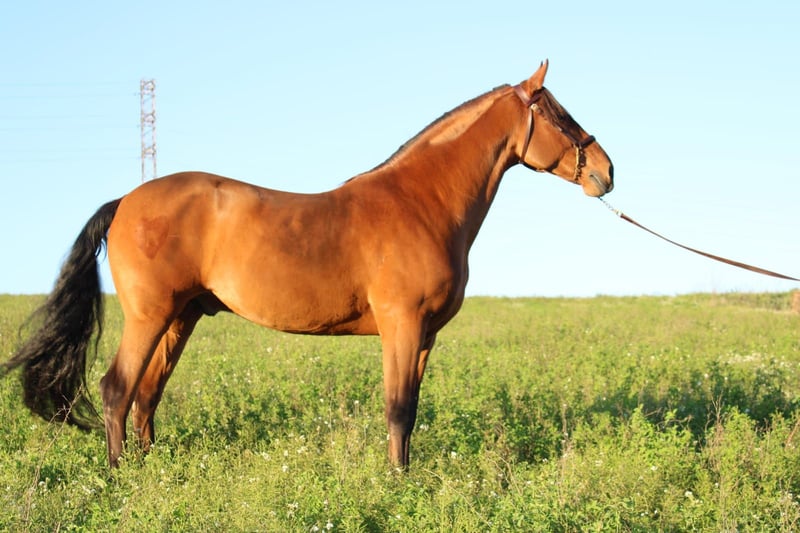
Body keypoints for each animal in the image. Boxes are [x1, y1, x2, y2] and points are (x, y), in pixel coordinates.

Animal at [2, 61, 613, 469]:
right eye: (560, 115)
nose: (606, 172)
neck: (421, 202)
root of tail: (126, 201)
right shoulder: (401, 325)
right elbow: (397, 409)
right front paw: (397, 483)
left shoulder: (425, 336)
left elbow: (412, 410)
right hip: (150, 317)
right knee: (116, 390)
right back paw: (122, 476)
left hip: (180, 319)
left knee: (146, 395)